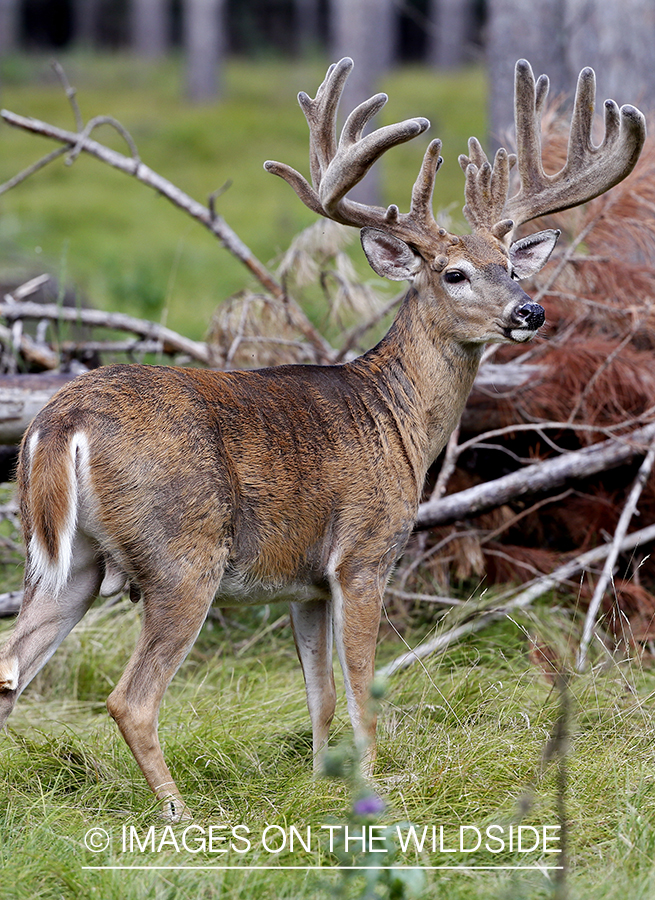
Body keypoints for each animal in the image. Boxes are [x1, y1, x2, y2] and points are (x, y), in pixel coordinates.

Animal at [0, 54, 644, 816]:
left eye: (512, 265)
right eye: (453, 273)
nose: (529, 311)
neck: (396, 420)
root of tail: (58, 421)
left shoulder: (303, 584)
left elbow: (322, 695)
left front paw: (318, 786)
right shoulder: (363, 552)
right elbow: (363, 688)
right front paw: (374, 789)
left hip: (67, 560)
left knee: (10, 670)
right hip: (181, 553)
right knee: (130, 699)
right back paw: (181, 814)